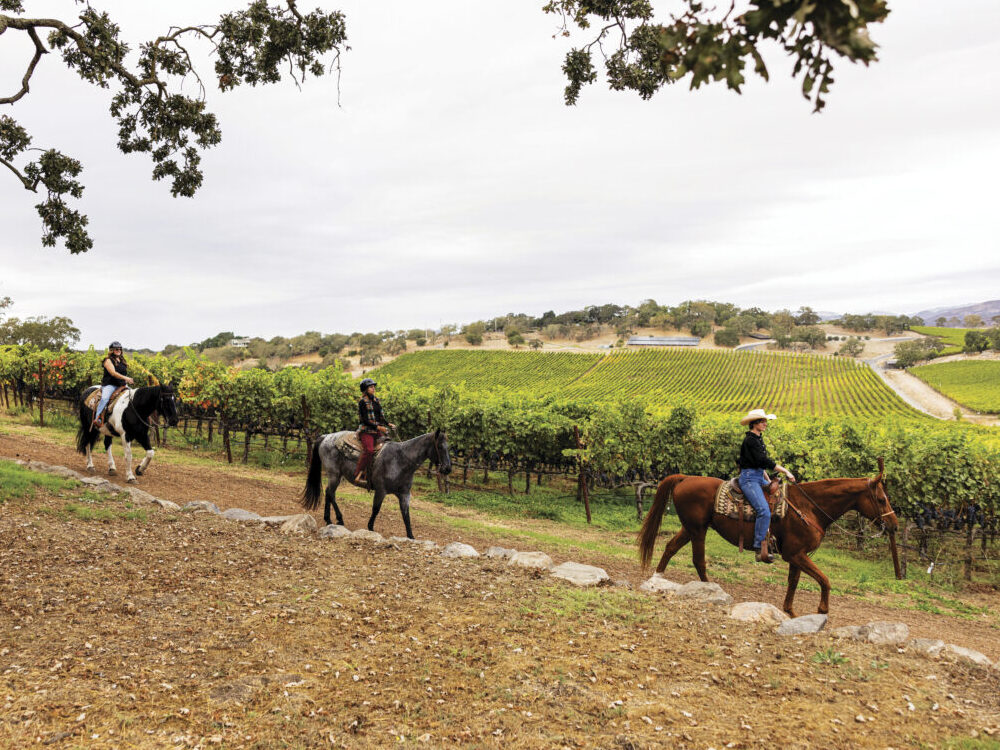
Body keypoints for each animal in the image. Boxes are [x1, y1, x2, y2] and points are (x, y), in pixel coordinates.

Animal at [298, 428, 452, 540]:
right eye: (439, 446)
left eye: (448, 447)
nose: (448, 469)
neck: (400, 460)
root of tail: (326, 436)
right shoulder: (380, 490)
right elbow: (376, 509)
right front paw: (370, 528)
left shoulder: (404, 494)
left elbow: (406, 515)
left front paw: (411, 536)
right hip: (334, 474)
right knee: (330, 493)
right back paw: (338, 519)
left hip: (336, 475)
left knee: (329, 493)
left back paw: (329, 519)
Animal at [636, 462, 904, 620]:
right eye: (882, 499)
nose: (894, 525)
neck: (808, 507)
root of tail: (685, 478)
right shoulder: (795, 554)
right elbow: (824, 579)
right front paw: (822, 609)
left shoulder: (797, 556)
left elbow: (794, 582)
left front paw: (790, 611)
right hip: (697, 529)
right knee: (698, 560)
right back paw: (709, 590)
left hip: (690, 528)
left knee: (671, 547)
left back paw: (658, 580)